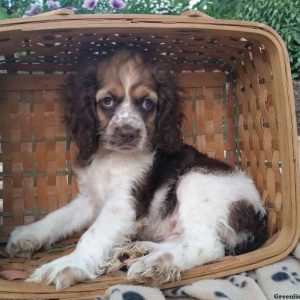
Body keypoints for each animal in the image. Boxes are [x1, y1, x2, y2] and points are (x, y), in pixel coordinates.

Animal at [4, 48, 268, 288]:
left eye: (148, 103)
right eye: (108, 101)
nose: (128, 132)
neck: (111, 158)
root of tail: (259, 216)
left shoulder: (123, 203)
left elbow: (93, 234)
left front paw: (68, 265)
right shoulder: (90, 199)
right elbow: (58, 217)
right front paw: (27, 235)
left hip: (196, 180)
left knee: (208, 245)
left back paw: (156, 262)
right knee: (185, 239)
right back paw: (137, 251)